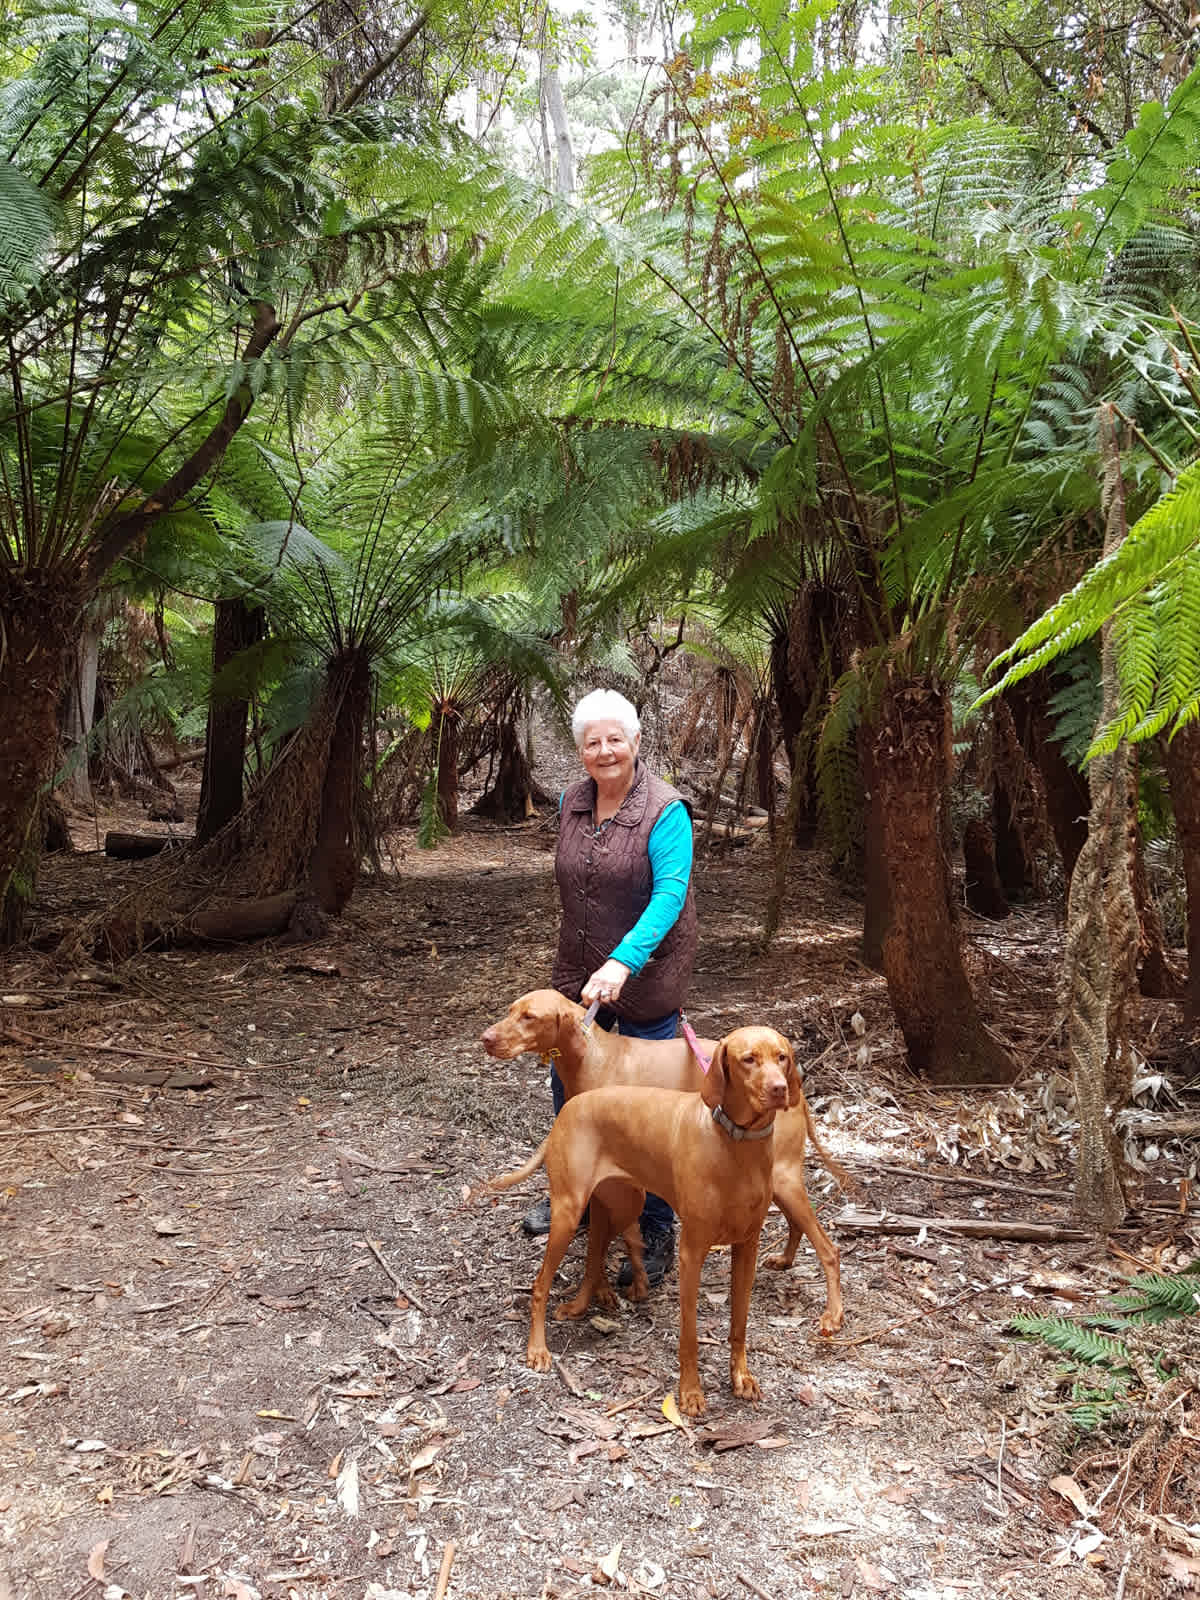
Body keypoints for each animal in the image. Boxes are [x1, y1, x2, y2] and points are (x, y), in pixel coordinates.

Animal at [476, 1024, 800, 1414]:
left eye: (782, 1057)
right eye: (748, 1059)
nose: (780, 1089)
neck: (736, 1144)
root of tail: (568, 1107)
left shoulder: (747, 1247)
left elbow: (739, 1323)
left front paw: (741, 1377)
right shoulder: (692, 1253)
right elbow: (689, 1333)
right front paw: (690, 1392)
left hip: (623, 1202)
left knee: (603, 1251)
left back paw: (603, 1296)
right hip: (569, 1213)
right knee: (541, 1285)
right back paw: (537, 1349)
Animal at [483, 985, 851, 1337]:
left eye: (529, 1017)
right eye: (511, 1011)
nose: (486, 1038)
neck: (596, 1056)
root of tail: (798, 1091)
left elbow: (600, 1246)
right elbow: (610, 1241)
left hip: (783, 1177)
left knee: (828, 1249)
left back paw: (833, 1314)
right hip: (776, 1182)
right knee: (796, 1224)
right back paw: (786, 1260)